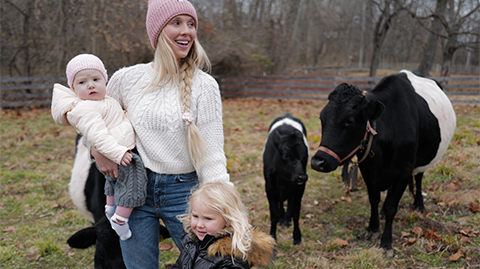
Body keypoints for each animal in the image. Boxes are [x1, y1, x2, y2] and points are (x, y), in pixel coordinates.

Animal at [262, 112, 312, 244]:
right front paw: (273, 237)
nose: (302, 177)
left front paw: (297, 236)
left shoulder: (299, 188)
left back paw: (286, 219)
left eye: (305, 156)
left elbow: (296, 212)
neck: (284, 179)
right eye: (285, 155)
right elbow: (274, 214)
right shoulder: (269, 188)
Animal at [310, 70, 456, 256]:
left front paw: (386, 242)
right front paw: (373, 228)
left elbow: (391, 207)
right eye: (322, 119)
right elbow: (374, 199)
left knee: (419, 177)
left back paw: (419, 205)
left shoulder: (404, 170)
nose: (317, 161)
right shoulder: (367, 168)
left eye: (349, 121)